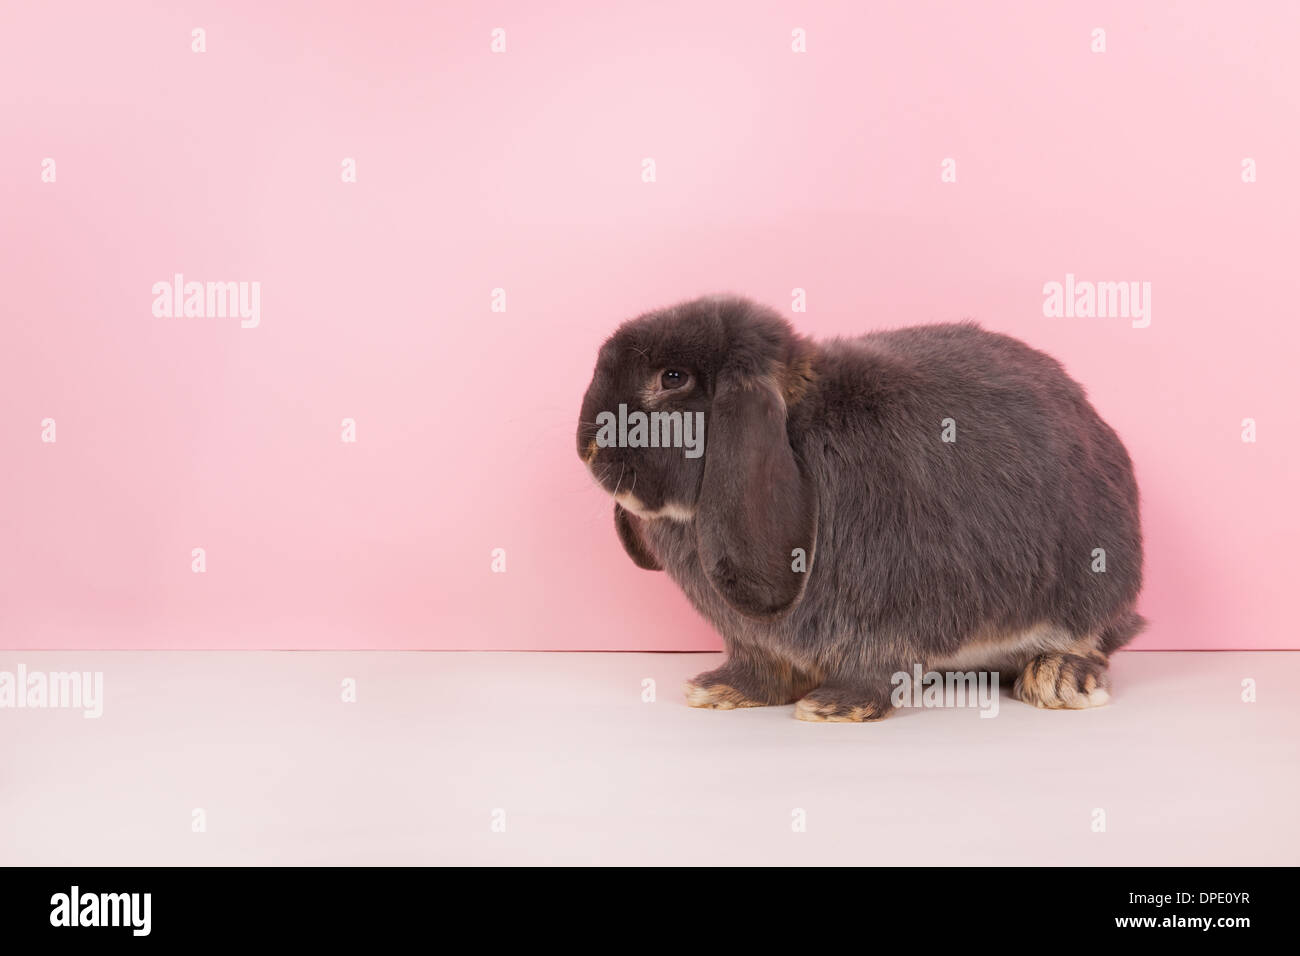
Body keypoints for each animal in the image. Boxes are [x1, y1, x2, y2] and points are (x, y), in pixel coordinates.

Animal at [574, 295, 1144, 723]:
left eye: (673, 378)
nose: (588, 448)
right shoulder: (754, 638)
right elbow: (762, 666)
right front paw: (721, 689)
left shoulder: (887, 605)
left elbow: (874, 663)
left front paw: (834, 706)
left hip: (1093, 581)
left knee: (1099, 637)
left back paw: (1059, 679)